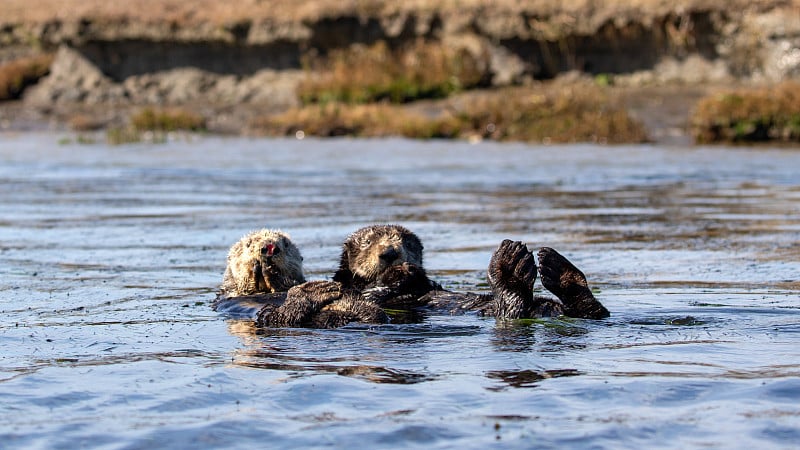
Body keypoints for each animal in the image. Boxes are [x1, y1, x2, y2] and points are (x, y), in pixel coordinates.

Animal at [212, 224, 608, 326]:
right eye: (249, 243)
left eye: (284, 243)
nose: (268, 249)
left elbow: (417, 281)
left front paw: (406, 272)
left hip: (548, 307)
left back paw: (553, 270)